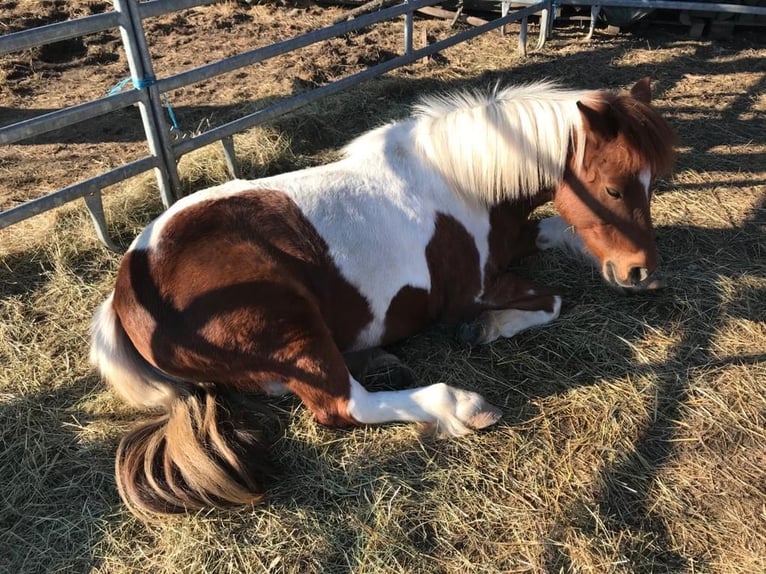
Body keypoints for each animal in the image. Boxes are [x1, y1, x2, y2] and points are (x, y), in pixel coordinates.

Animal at [90, 78, 676, 519]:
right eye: (614, 188)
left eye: (652, 183)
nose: (639, 269)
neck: (462, 185)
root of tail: (126, 290)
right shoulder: (473, 291)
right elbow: (551, 301)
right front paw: (485, 330)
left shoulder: (516, 239)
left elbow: (560, 230)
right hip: (290, 323)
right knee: (341, 404)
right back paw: (460, 404)